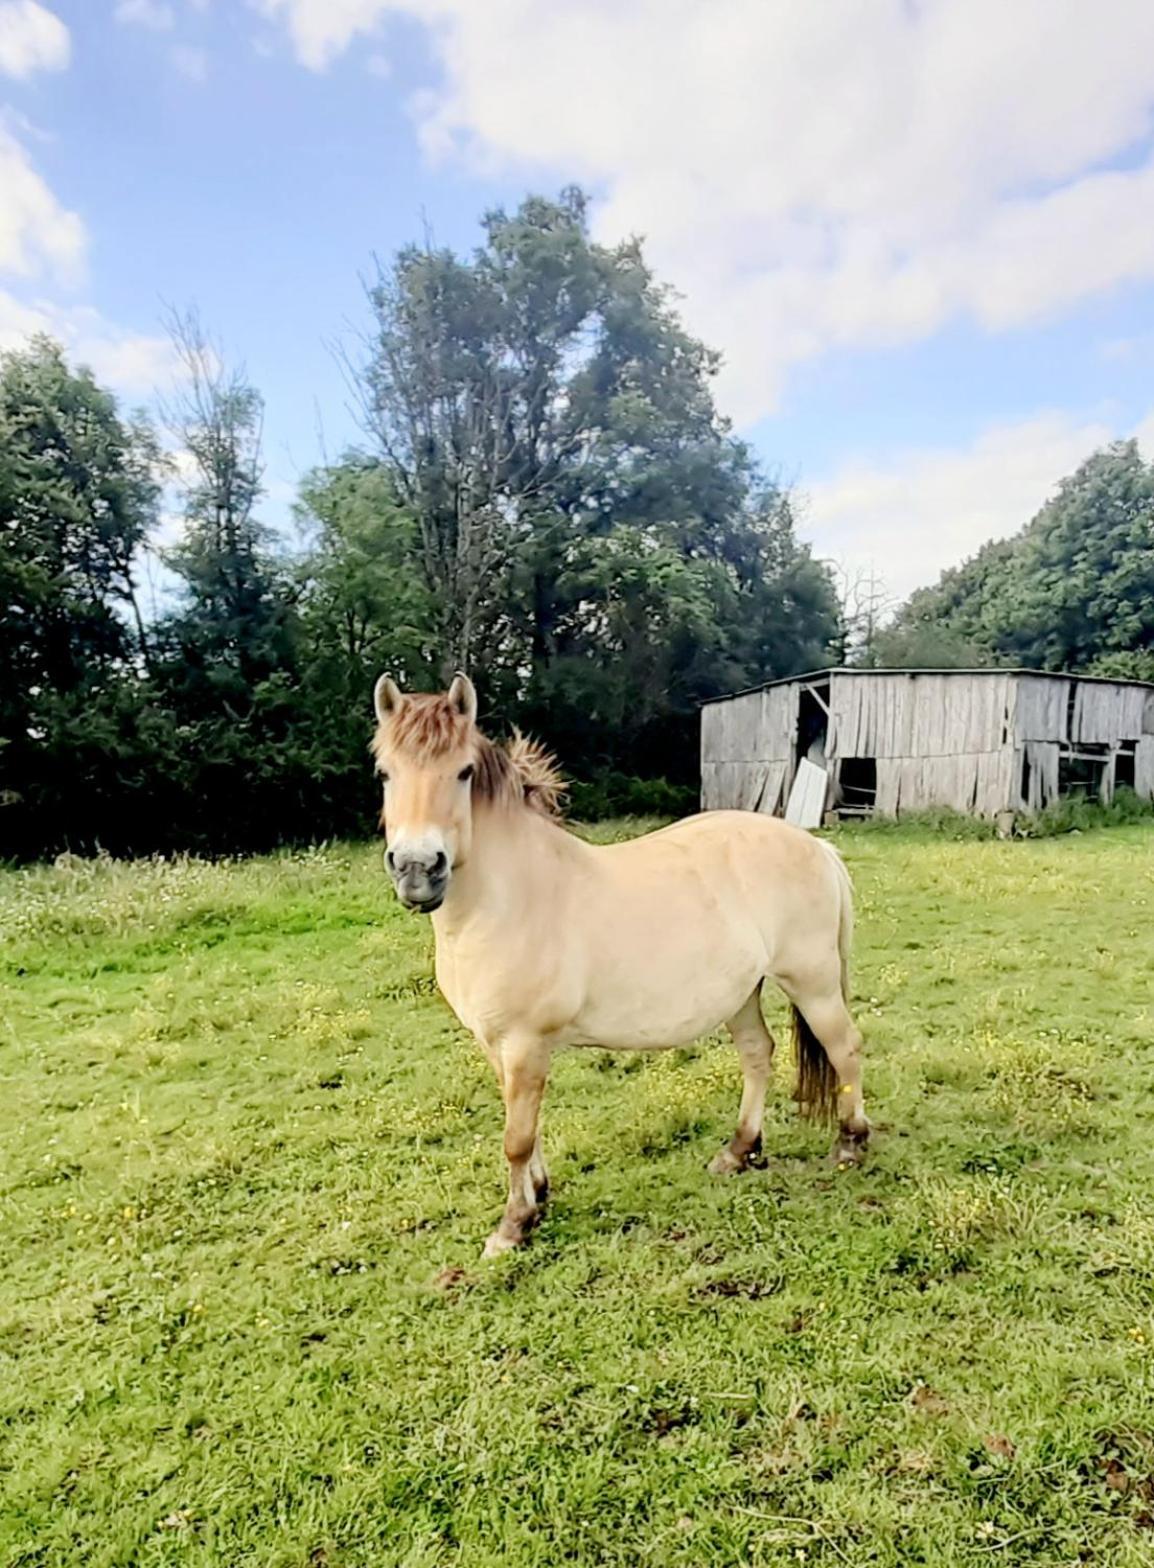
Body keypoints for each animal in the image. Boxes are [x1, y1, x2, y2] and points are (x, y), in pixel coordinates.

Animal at [374, 667, 871, 1254]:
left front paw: (512, 1227)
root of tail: (817, 847)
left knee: (844, 1049)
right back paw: (738, 1151)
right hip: (742, 993)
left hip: (812, 982)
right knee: (758, 1054)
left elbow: (516, 1137)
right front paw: (538, 1198)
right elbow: (527, 1131)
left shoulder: (523, 1044)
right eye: (385, 772)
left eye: (464, 772)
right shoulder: (497, 1046)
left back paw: (850, 1143)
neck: (511, 898)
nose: (416, 870)